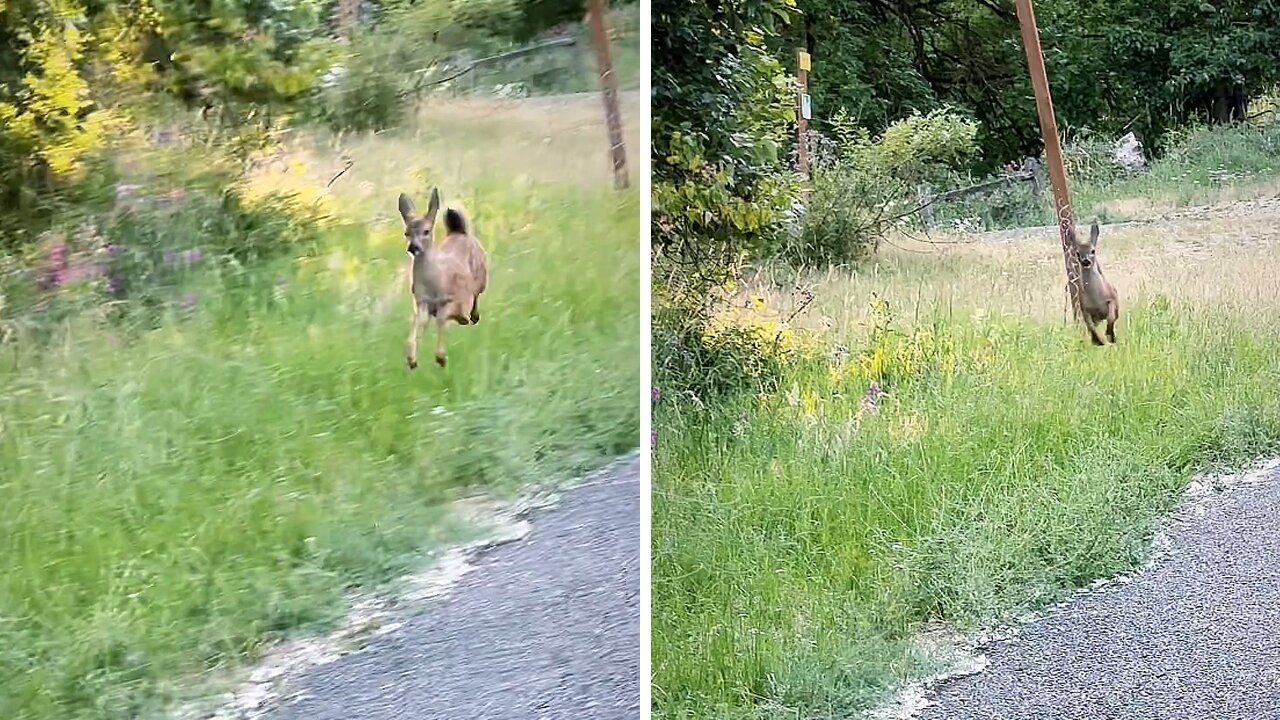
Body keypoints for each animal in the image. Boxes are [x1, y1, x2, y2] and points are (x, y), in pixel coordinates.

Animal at [396, 188, 486, 366]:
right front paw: (411, 359)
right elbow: (417, 322)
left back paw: (472, 316)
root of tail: (459, 231)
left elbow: (442, 319)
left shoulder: (449, 298)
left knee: (475, 296)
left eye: (426, 231)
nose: (413, 247)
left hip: (482, 277)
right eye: (406, 233)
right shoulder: (421, 301)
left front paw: (441, 357)